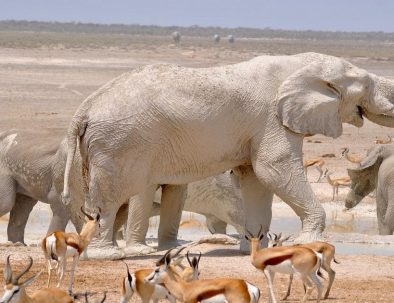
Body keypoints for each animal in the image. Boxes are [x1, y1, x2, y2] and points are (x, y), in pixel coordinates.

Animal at [62, 52, 394, 262]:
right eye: (366, 85)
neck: (300, 63)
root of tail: (84, 108)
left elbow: (256, 179)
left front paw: (255, 249)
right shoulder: (271, 119)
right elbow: (273, 168)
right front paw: (309, 242)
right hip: (118, 144)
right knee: (111, 196)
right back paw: (109, 255)